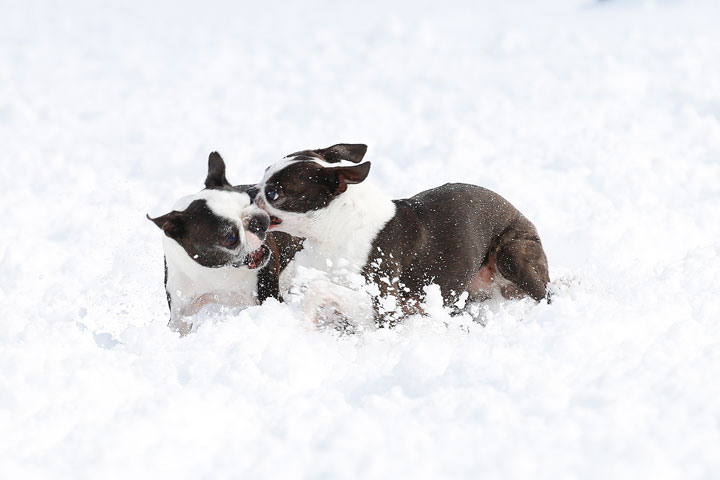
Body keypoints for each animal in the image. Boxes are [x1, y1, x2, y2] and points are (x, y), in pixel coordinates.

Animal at [149, 152, 300, 332]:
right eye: (231, 238)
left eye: (251, 201)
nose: (257, 222)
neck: (218, 271)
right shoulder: (180, 314)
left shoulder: (268, 294)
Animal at [255, 144, 552, 324]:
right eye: (262, 176)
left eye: (273, 192)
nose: (251, 192)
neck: (333, 228)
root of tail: (516, 210)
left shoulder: (386, 307)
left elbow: (318, 289)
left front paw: (305, 324)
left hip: (512, 254)